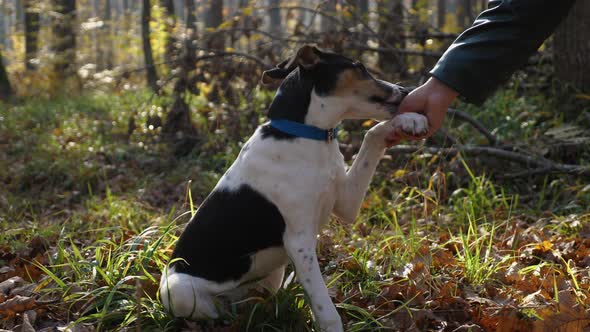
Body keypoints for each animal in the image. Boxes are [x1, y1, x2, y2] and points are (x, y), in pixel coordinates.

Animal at [161, 45, 430, 330]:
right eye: (359, 67)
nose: (406, 91)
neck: (307, 136)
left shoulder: (345, 203)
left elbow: (373, 135)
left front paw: (410, 119)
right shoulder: (299, 241)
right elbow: (326, 309)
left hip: (270, 277)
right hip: (178, 291)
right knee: (216, 313)